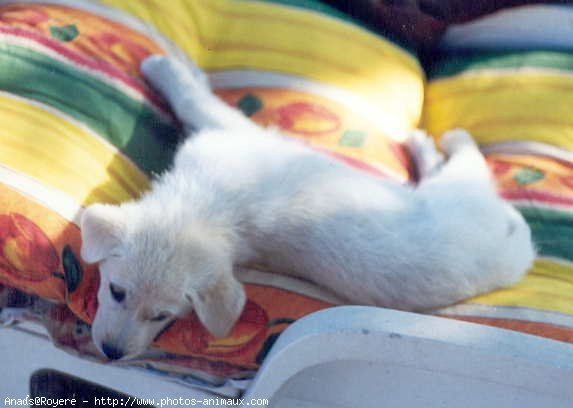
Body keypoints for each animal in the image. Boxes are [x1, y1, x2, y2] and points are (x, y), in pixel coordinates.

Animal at [80, 55, 536, 360]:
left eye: (163, 316)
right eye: (117, 291)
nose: (112, 352)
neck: (209, 207)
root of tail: (524, 250)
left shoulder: (229, 133)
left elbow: (196, 101)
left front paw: (170, 69)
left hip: (462, 190)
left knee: (468, 157)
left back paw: (445, 140)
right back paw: (424, 147)